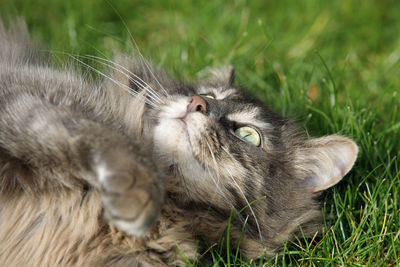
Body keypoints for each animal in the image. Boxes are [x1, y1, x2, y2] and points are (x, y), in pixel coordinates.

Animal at [0, 19, 358, 266]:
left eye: (248, 135)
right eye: (210, 94)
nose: (197, 104)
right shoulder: (29, 94)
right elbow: (105, 137)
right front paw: (135, 196)